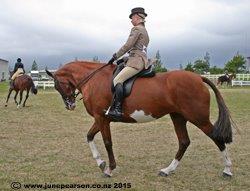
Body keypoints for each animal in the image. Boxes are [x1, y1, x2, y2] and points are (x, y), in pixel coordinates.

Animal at [45, 60, 234, 178]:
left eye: (57, 85)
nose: (69, 105)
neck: (94, 79)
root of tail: (198, 77)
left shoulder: (102, 119)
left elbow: (107, 142)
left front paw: (110, 169)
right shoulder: (101, 119)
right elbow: (89, 136)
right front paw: (100, 162)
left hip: (198, 118)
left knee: (216, 137)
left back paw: (227, 170)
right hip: (178, 117)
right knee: (184, 142)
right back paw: (167, 170)